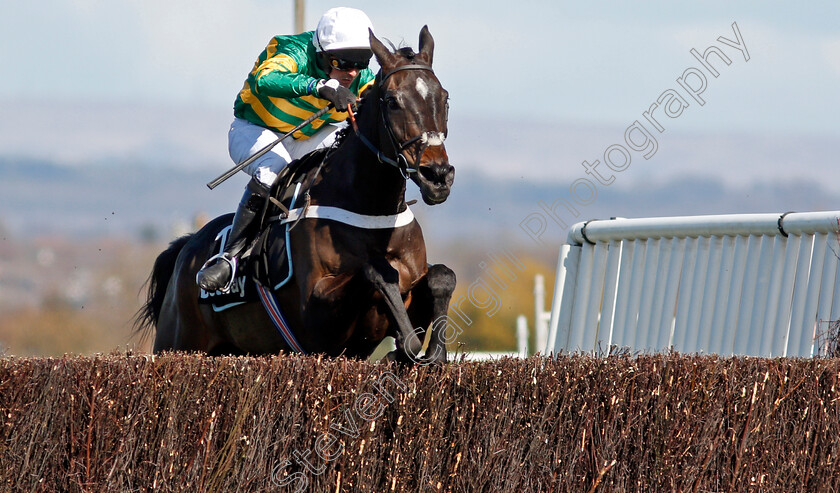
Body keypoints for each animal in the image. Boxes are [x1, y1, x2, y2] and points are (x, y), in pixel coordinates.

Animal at [135, 27, 456, 366]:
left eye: (444, 98)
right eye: (393, 101)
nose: (437, 176)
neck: (371, 207)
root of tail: (187, 247)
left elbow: (442, 276)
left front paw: (429, 350)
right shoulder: (317, 320)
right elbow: (376, 272)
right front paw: (406, 344)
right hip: (176, 341)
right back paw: (218, 270)